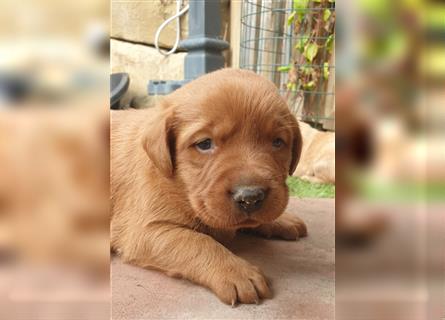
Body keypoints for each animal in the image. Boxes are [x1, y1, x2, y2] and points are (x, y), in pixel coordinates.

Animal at [110, 68, 306, 304]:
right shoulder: (145, 230)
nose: (250, 197)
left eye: (277, 142)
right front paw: (236, 272)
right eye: (204, 144)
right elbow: (196, 241)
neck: (181, 185)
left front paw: (282, 220)